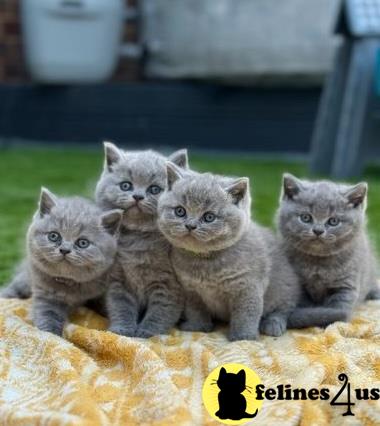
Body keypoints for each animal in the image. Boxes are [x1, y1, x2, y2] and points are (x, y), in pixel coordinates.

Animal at [1, 189, 122, 336]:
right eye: (53, 236)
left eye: (83, 243)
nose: (64, 250)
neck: (70, 284)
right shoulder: (45, 292)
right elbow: (48, 317)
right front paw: (51, 334)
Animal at [95, 143, 188, 340]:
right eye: (126, 185)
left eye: (154, 189)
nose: (137, 196)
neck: (137, 239)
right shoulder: (118, 279)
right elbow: (121, 305)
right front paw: (122, 330)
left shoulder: (169, 284)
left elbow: (161, 310)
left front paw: (148, 332)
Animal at [157, 165, 296, 342]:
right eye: (180, 211)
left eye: (209, 217)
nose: (190, 225)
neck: (205, 262)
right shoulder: (190, 289)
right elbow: (195, 310)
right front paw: (198, 327)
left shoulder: (248, 287)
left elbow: (246, 314)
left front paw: (243, 338)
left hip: (285, 287)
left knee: (285, 309)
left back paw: (273, 324)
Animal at [278, 175, 378, 328]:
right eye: (305, 217)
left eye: (333, 221)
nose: (318, 231)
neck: (319, 264)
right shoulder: (299, 284)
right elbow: (305, 303)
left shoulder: (346, 285)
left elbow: (338, 308)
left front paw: (332, 322)